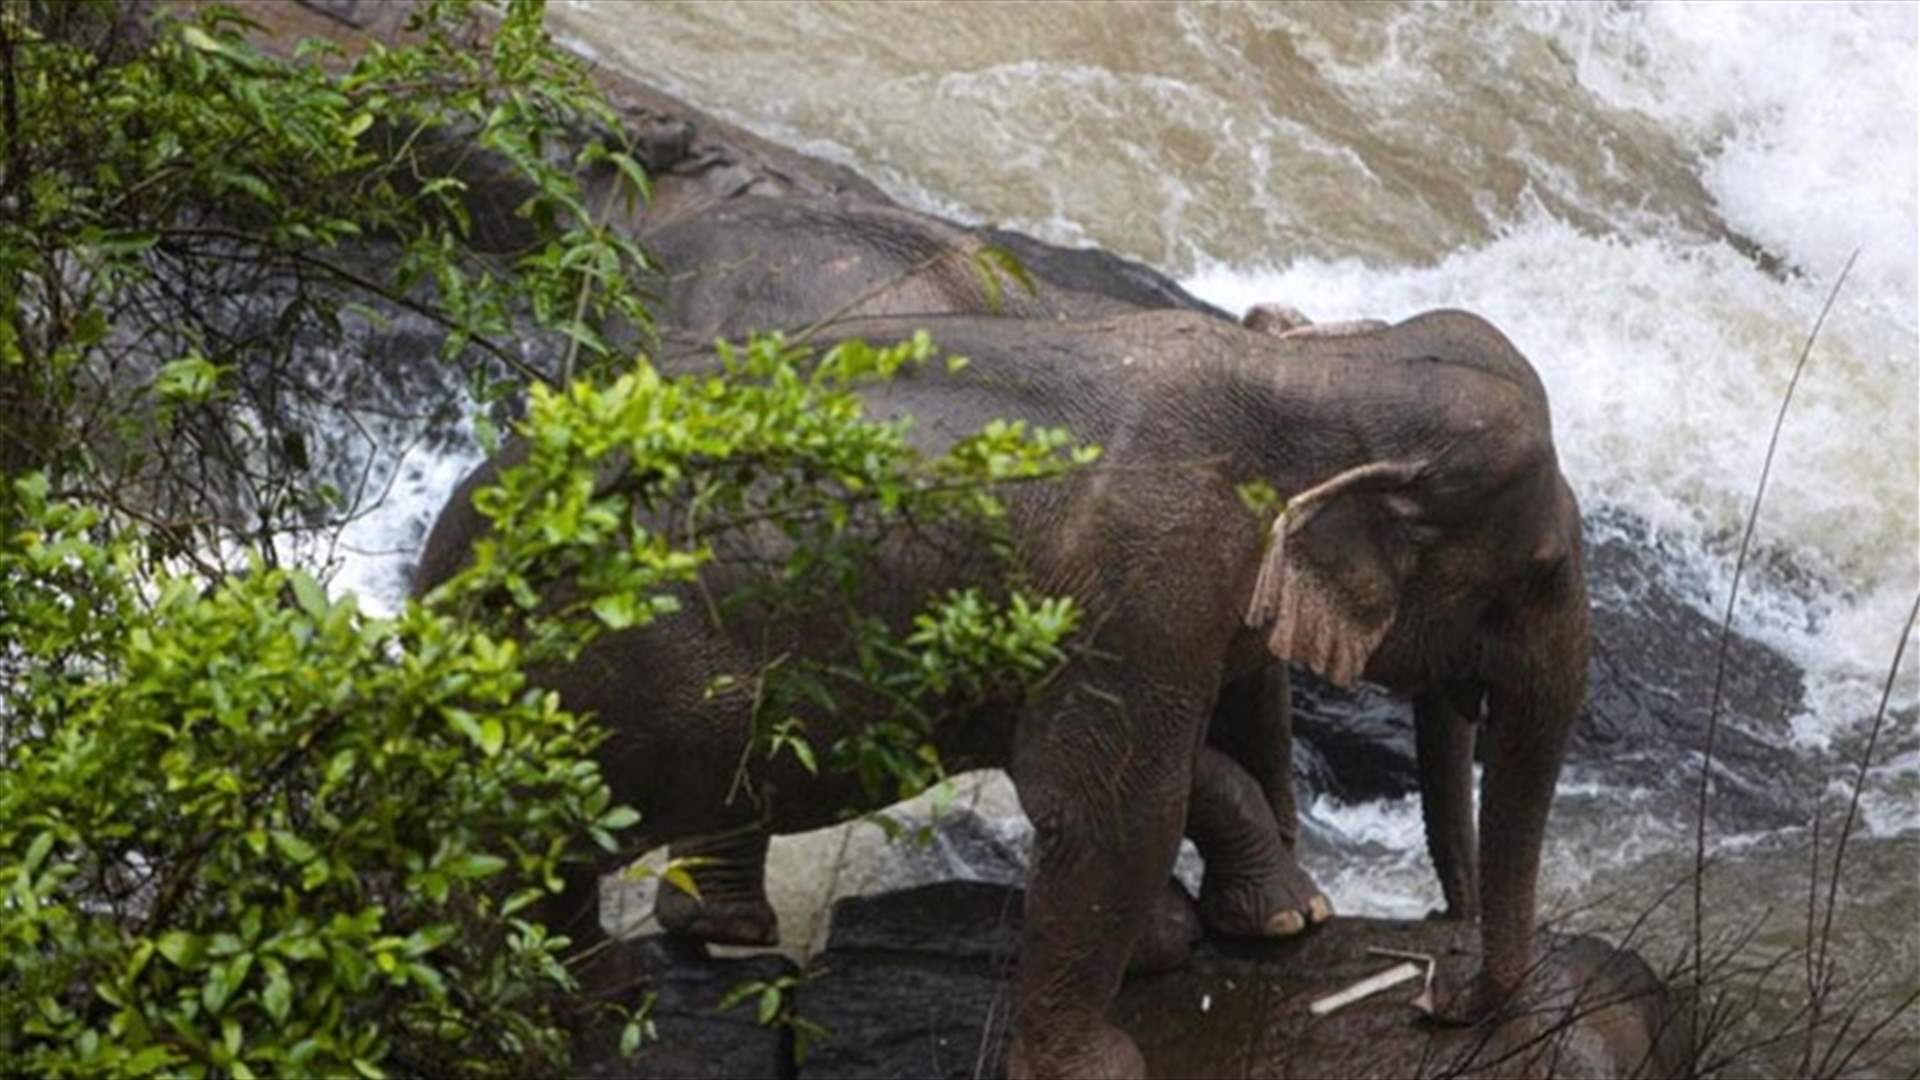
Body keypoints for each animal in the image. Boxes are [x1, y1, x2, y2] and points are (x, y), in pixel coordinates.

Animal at [416, 303, 1589, 1076]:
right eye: (1537, 572)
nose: (1436, 992)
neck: (1320, 370)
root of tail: (446, 563)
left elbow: (1191, 752)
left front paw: (1249, 926)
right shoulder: (1145, 577)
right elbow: (1111, 803)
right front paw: (1116, 1050)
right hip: (623, 679)